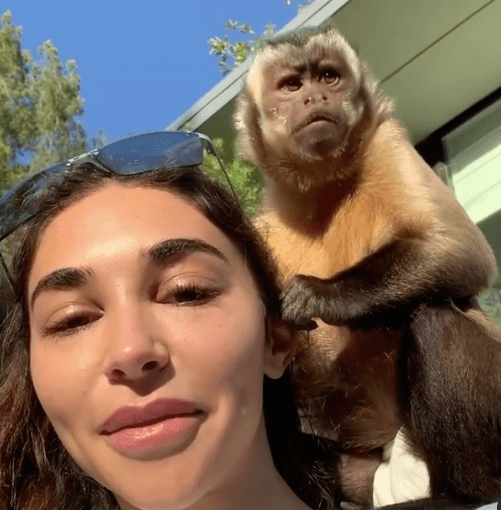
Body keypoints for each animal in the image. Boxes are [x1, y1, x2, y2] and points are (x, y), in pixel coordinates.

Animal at [236, 24, 500, 510]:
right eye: (292, 86)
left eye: (328, 76)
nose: (315, 97)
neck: (321, 188)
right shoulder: (262, 222)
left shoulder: (385, 140)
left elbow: (458, 250)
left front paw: (316, 294)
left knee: (434, 319)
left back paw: (469, 490)